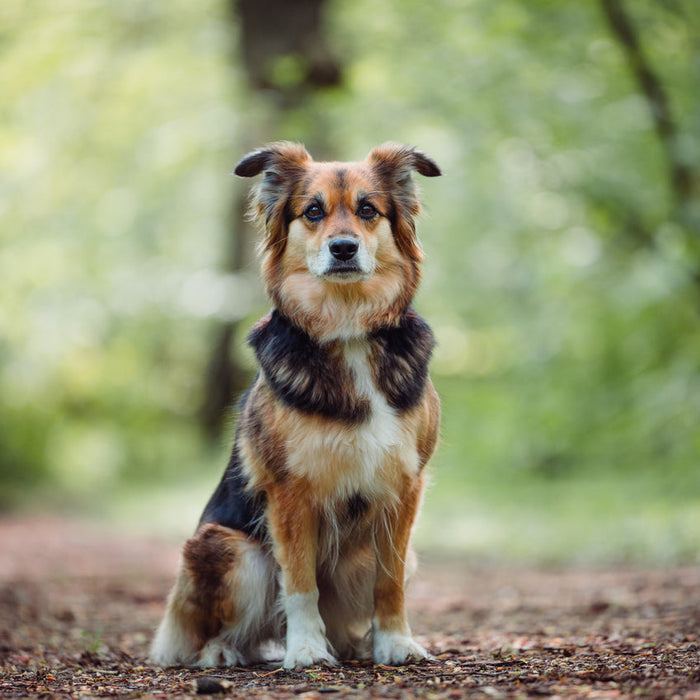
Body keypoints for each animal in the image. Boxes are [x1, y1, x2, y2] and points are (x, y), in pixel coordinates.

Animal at [150, 141, 440, 668]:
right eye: (313, 212)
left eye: (368, 210)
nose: (343, 248)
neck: (348, 331)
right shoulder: (290, 492)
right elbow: (301, 583)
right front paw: (304, 649)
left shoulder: (404, 487)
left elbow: (389, 585)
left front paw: (395, 642)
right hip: (228, 549)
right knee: (224, 629)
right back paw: (223, 652)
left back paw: (356, 644)